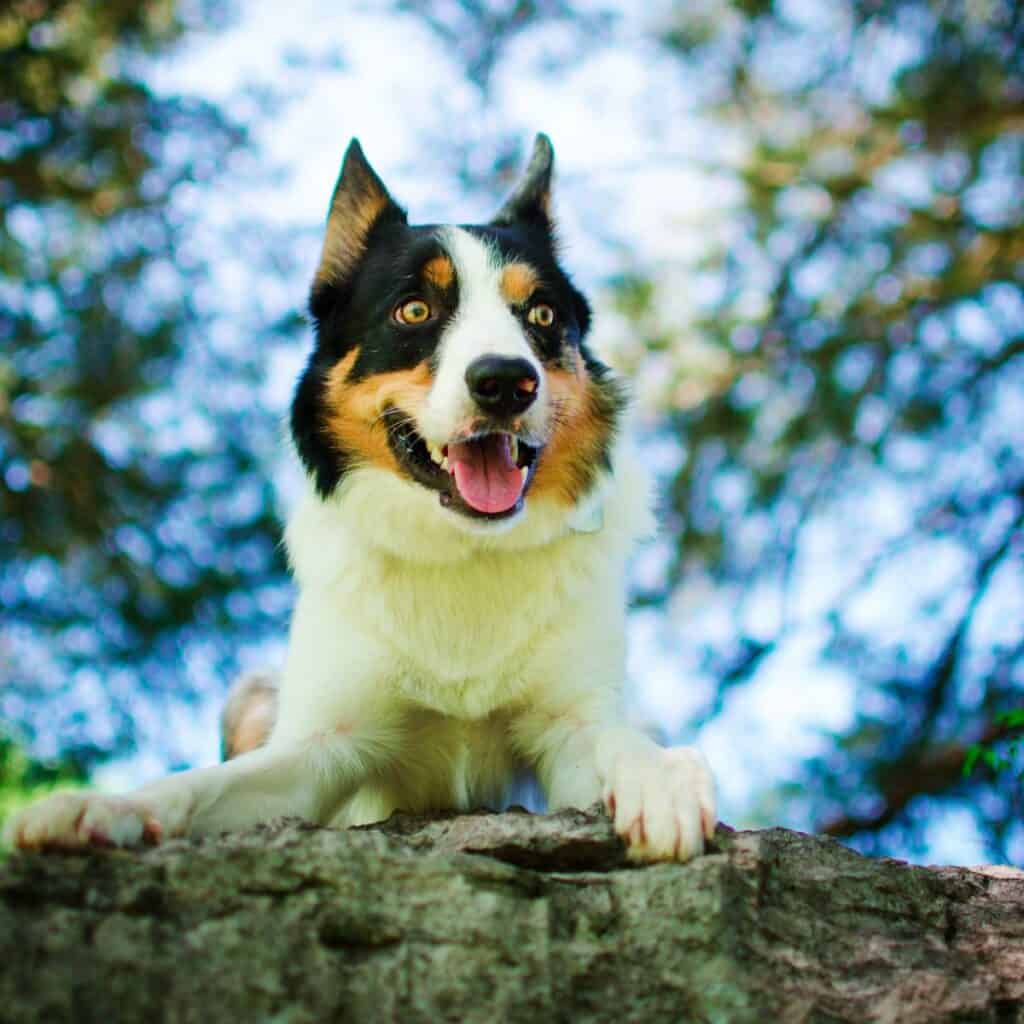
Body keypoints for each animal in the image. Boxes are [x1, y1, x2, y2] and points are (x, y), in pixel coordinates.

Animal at [4, 132, 716, 860]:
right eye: (414, 310)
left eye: (541, 314)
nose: (505, 382)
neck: (460, 551)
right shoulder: (319, 748)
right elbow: (198, 786)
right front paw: (102, 806)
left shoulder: (568, 730)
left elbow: (612, 738)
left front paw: (661, 777)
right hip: (252, 693)